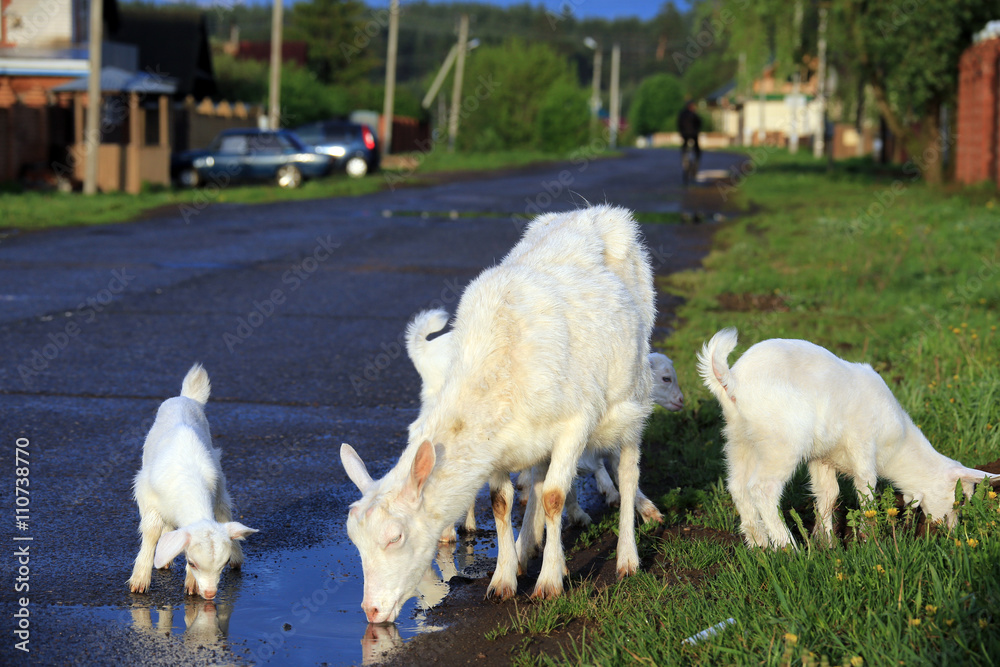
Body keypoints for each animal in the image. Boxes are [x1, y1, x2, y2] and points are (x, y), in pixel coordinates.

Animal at [127, 363, 257, 599]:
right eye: (192, 563)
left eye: (222, 565)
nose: (210, 594)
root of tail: (186, 397)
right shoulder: (146, 493)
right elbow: (151, 530)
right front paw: (140, 580)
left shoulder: (216, 486)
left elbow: (223, 514)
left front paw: (192, 585)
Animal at [341, 205, 654, 623]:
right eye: (355, 540)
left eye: (395, 537)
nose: (371, 610)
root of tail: (593, 211)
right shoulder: (496, 448)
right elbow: (502, 503)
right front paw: (504, 580)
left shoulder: (574, 423)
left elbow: (555, 495)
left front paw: (549, 583)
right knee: (536, 478)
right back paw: (526, 551)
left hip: (632, 394)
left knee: (627, 467)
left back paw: (627, 556)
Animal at [697, 327, 997, 548]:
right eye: (959, 500)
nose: (951, 533)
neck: (897, 444)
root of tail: (732, 380)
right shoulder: (862, 444)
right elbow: (866, 491)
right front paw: (867, 539)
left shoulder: (822, 457)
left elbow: (828, 494)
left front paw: (826, 543)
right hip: (782, 442)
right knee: (762, 489)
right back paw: (786, 547)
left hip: (738, 439)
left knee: (737, 486)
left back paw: (759, 544)